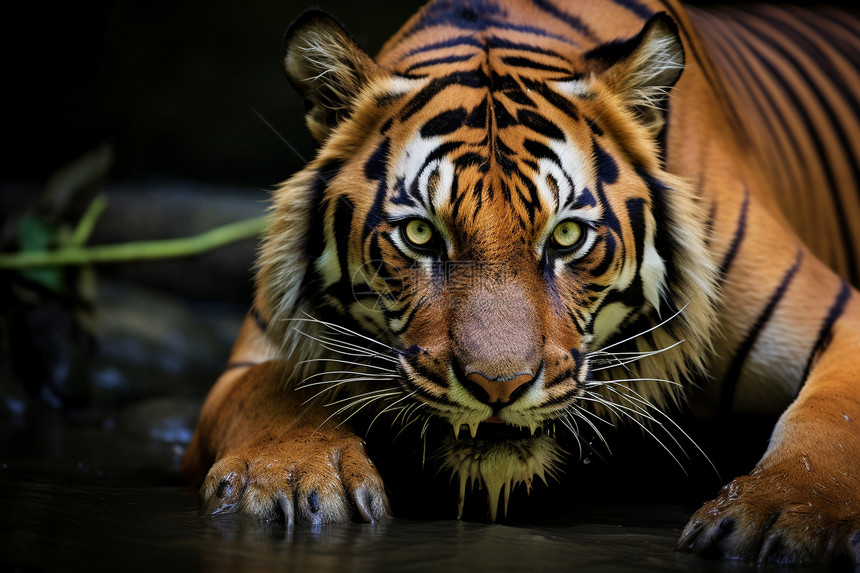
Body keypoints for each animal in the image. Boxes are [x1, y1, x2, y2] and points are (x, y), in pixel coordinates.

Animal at [183, 0, 860, 564]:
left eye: (566, 237)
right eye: (421, 234)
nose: (498, 387)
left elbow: (831, 418)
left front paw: (781, 516)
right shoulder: (253, 356)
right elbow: (269, 391)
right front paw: (288, 480)